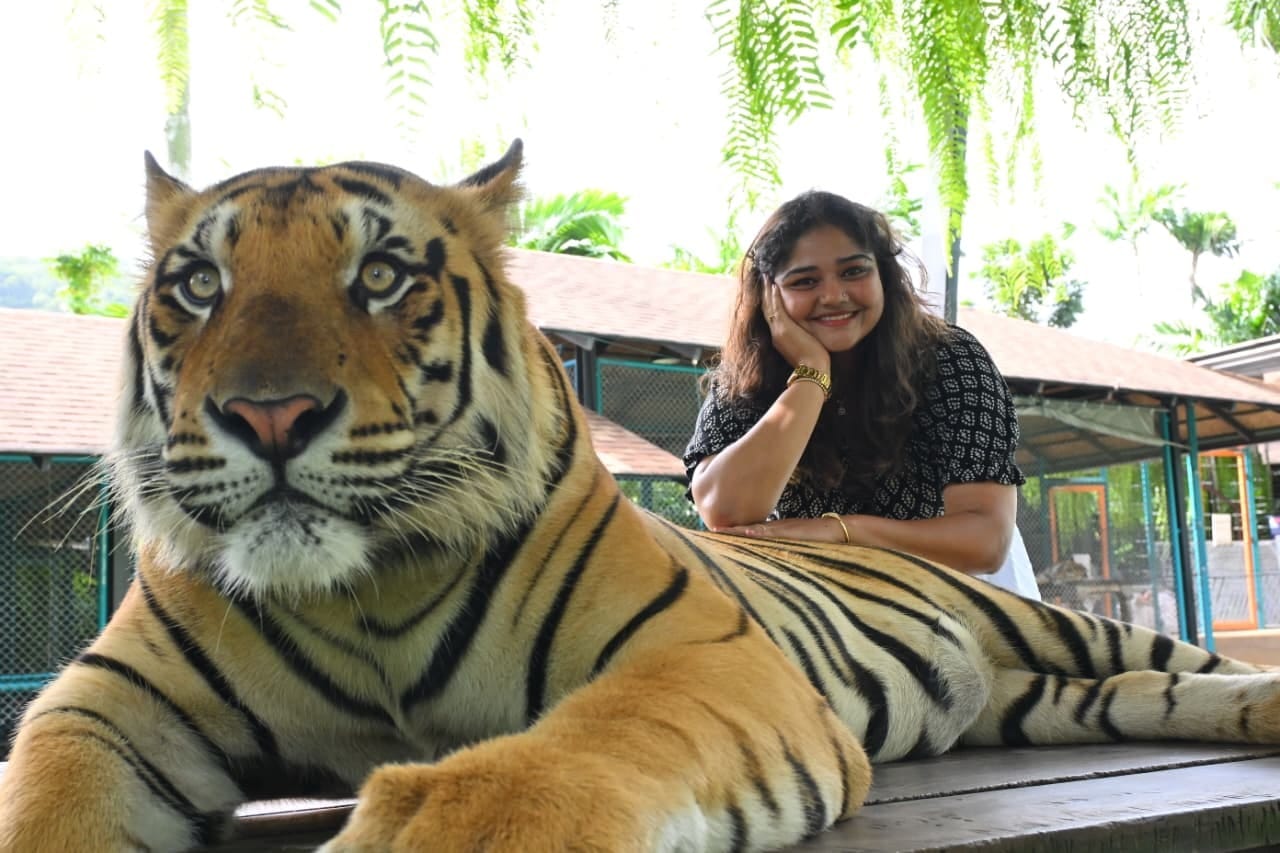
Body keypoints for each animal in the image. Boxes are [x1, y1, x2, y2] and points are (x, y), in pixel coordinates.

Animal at [1, 139, 1277, 853]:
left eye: (380, 274)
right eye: (197, 285)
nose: (267, 416)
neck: (361, 590)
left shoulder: (703, 655)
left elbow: (567, 749)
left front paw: (438, 821)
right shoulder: (108, 704)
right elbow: (43, 801)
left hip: (1045, 618)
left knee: (1184, 662)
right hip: (1038, 698)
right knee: (1142, 698)